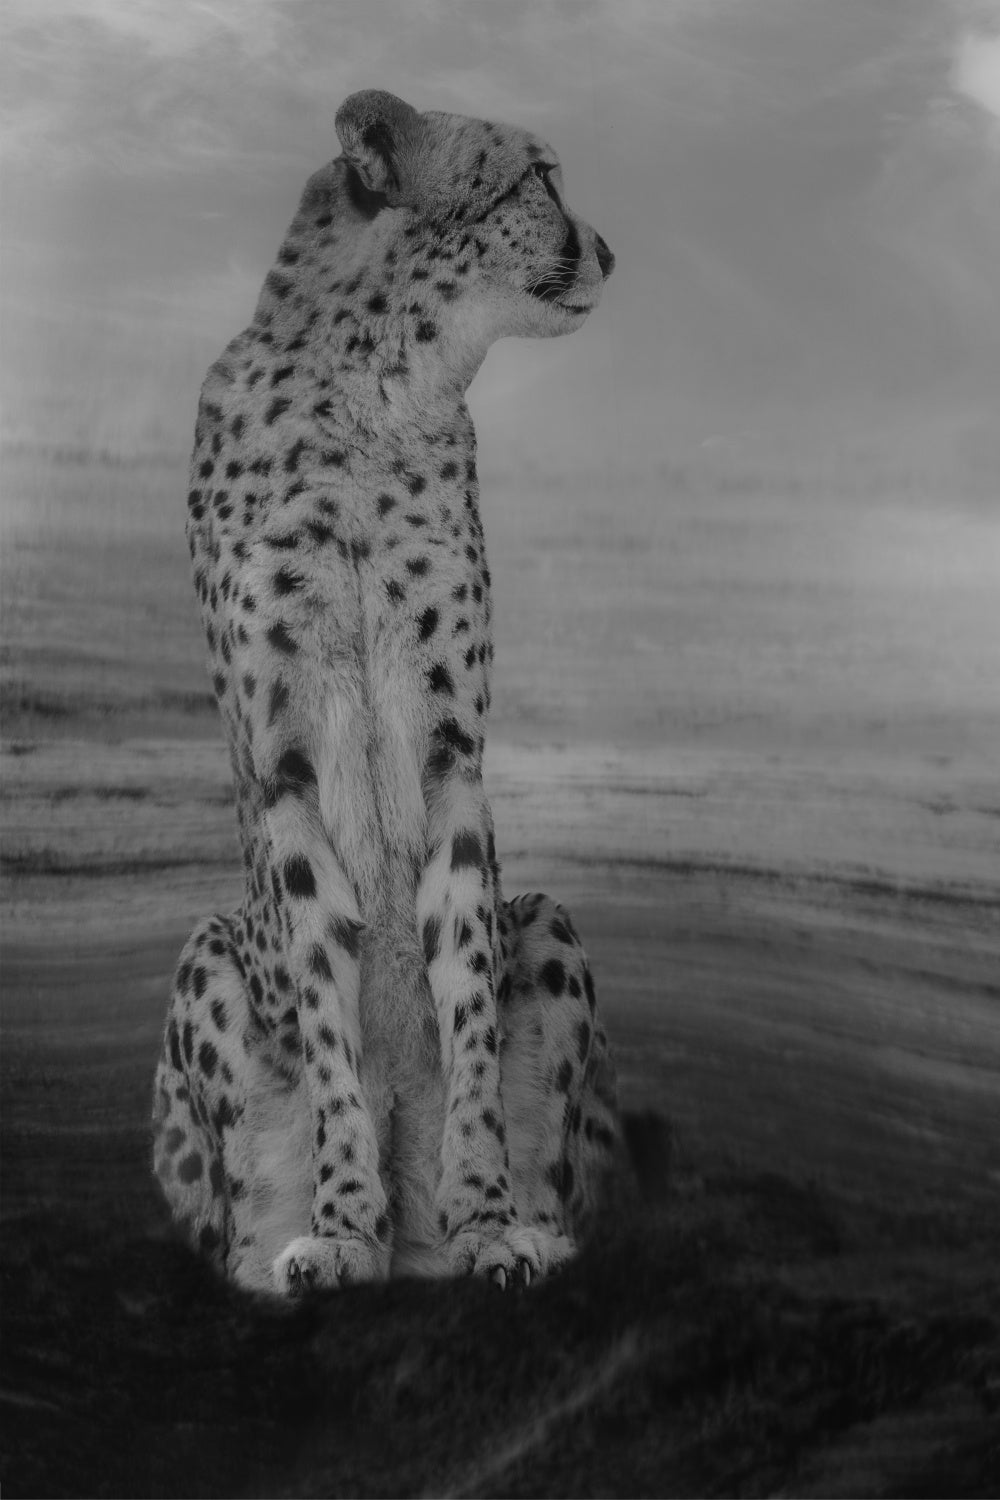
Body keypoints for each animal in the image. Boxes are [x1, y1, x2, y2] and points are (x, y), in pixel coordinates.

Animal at [152, 88, 622, 1296]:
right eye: (539, 176)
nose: (607, 248)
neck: (378, 389)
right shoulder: (283, 769)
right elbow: (326, 993)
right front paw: (342, 1223)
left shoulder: (454, 749)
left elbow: (464, 987)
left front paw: (486, 1219)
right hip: (207, 950)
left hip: (551, 923)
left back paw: (523, 1227)